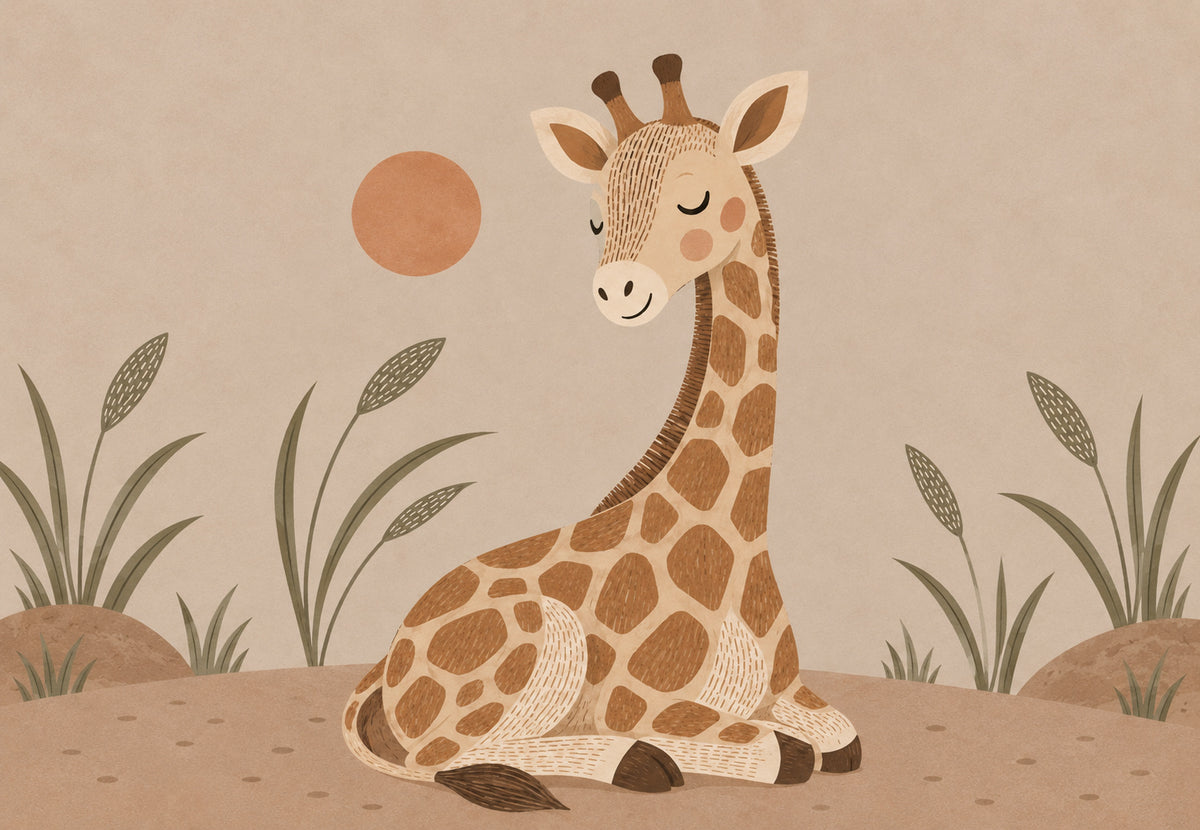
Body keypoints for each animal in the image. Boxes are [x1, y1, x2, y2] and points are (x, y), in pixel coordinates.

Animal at [343, 54, 861, 812]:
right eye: (596, 219)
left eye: (696, 199)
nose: (619, 290)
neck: (739, 533)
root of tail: (386, 663)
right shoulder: (639, 698)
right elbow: (782, 753)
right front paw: (658, 753)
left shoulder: (790, 691)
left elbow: (841, 742)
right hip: (537, 640)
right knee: (443, 754)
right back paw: (625, 762)